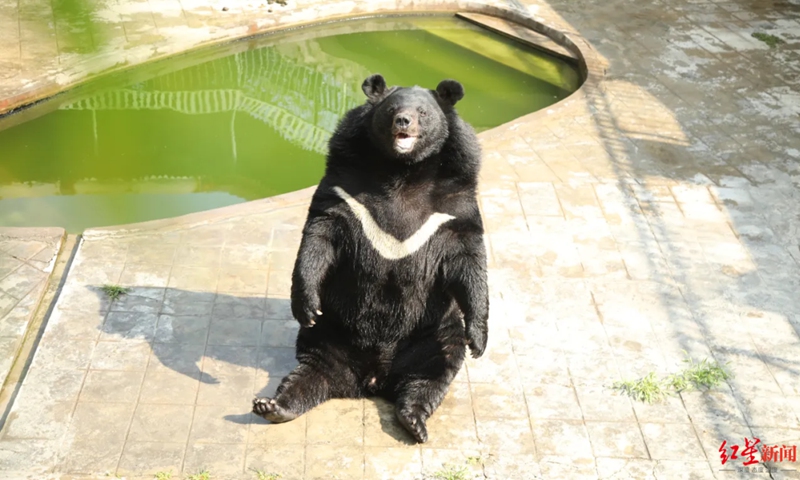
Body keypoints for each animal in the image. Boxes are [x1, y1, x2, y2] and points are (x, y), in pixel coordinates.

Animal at [252, 73, 489, 444]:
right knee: (312, 370)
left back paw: (414, 422)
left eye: (422, 112)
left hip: (433, 331)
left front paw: (479, 339)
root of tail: (373, 380)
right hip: (331, 330)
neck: (402, 171)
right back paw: (273, 405)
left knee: (433, 371)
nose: (403, 122)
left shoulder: (453, 203)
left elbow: (469, 258)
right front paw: (305, 305)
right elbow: (319, 235)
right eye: (392, 109)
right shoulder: (344, 188)